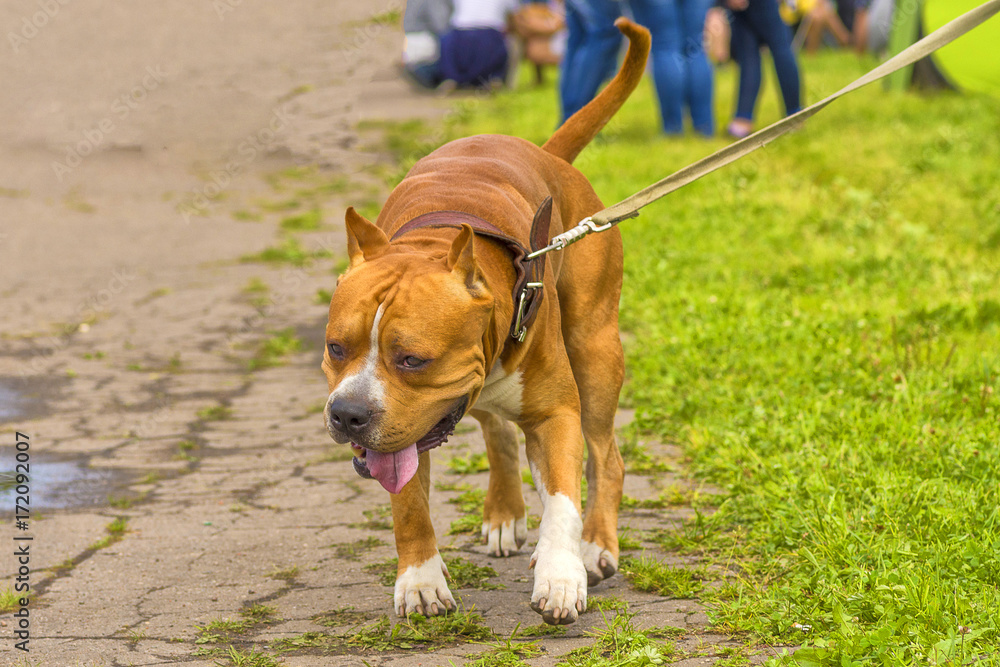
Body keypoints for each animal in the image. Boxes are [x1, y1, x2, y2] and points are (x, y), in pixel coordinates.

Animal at [320, 20, 648, 628]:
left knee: (604, 457)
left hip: (595, 353)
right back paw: (506, 513)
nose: (348, 414)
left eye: (412, 359)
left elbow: (563, 498)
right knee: (498, 429)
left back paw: (594, 546)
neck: (432, 239)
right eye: (335, 348)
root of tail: (548, 155)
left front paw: (561, 575)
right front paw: (420, 580)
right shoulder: (403, 432)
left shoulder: (556, 412)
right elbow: (409, 504)